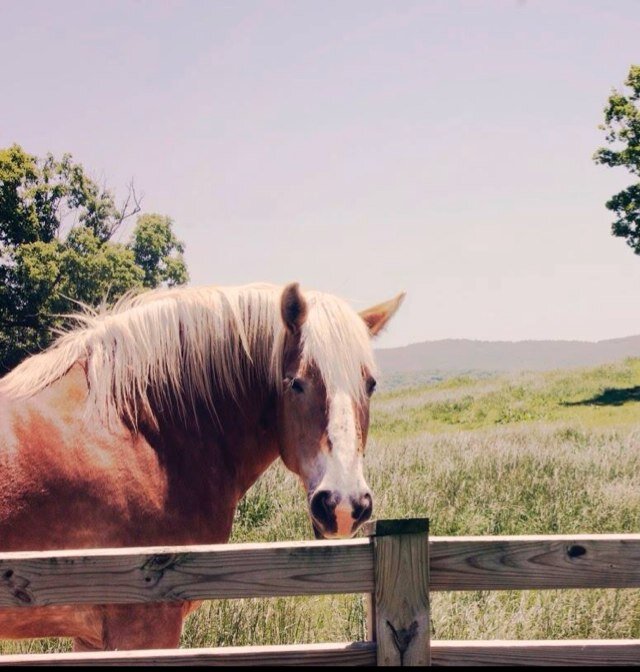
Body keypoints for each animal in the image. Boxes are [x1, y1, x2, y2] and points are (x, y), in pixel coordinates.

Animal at [0, 282, 402, 652]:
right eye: (295, 384)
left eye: (370, 384)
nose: (344, 504)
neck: (141, 429)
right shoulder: (143, 627)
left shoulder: (91, 638)